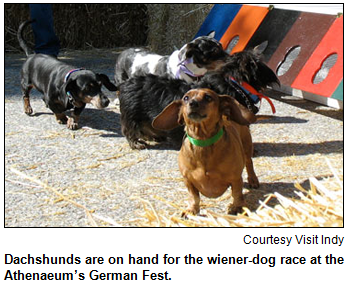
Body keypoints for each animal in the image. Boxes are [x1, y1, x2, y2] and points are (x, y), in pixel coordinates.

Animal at [118, 49, 278, 150]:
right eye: (259, 62)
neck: (235, 84)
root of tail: (126, 83)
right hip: (132, 115)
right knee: (129, 130)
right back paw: (136, 143)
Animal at [154, 89, 260, 217]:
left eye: (208, 97)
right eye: (186, 98)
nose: (192, 103)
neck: (203, 142)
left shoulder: (235, 178)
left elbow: (237, 194)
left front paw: (238, 207)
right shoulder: (188, 180)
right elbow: (193, 197)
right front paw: (191, 209)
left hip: (246, 146)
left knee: (249, 163)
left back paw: (253, 180)